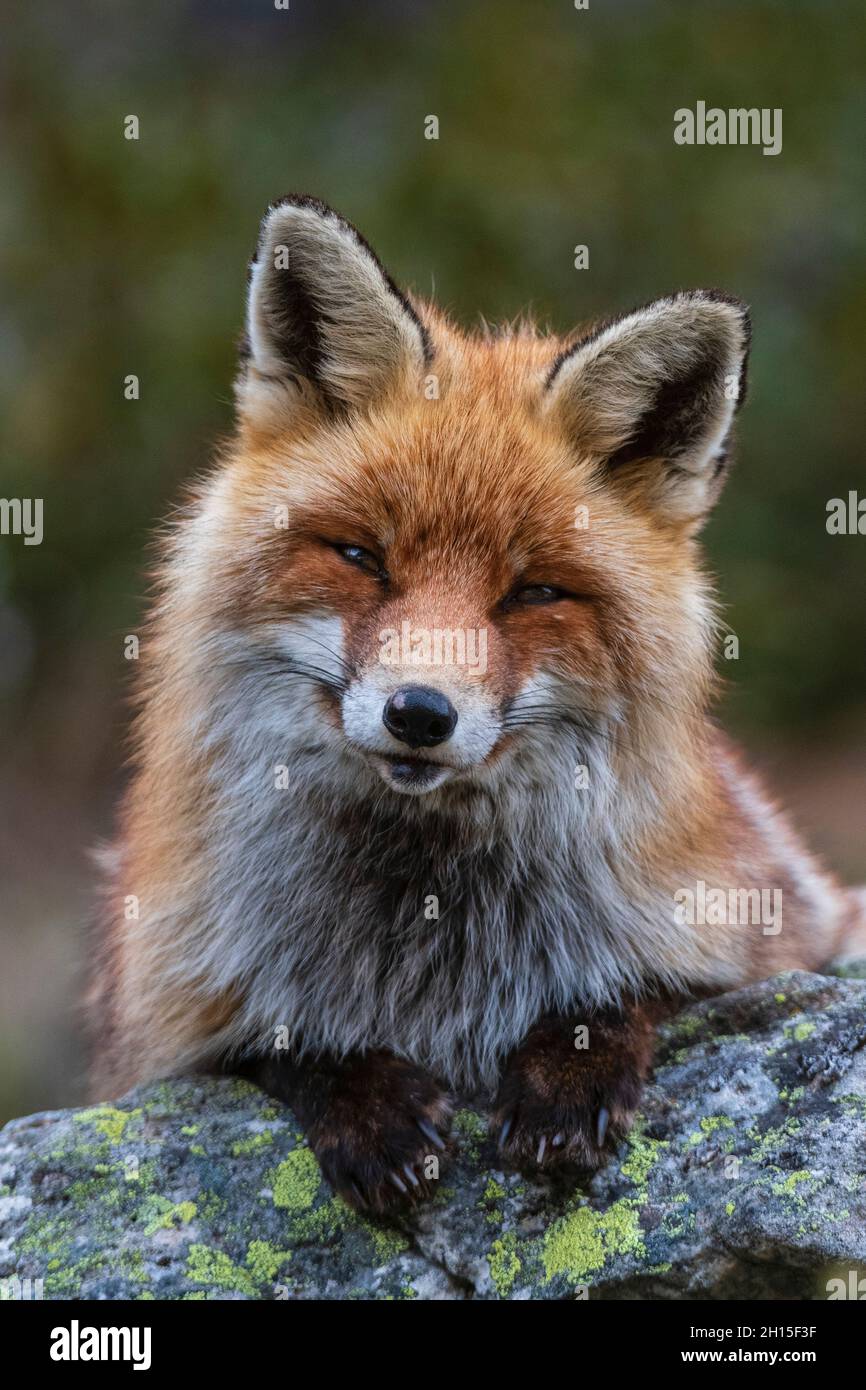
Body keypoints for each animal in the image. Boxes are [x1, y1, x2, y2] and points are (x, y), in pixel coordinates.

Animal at [89, 198, 866, 1217]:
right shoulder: (165, 1025)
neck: (429, 923)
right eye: (362, 557)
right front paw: (365, 1101)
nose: (420, 714)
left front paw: (568, 1072)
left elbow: (637, 989)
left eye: (533, 594)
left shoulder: (774, 938)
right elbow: (279, 1039)